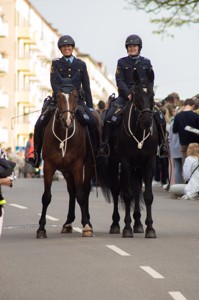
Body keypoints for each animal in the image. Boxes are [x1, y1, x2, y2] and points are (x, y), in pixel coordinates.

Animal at [37, 86, 96, 239]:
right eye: (58, 97)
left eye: (75, 96)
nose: (67, 120)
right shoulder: (49, 166)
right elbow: (46, 197)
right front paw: (41, 228)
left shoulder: (77, 165)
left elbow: (81, 195)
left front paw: (86, 226)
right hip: (66, 171)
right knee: (71, 191)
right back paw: (68, 223)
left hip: (88, 166)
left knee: (84, 189)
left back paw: (87, 220)